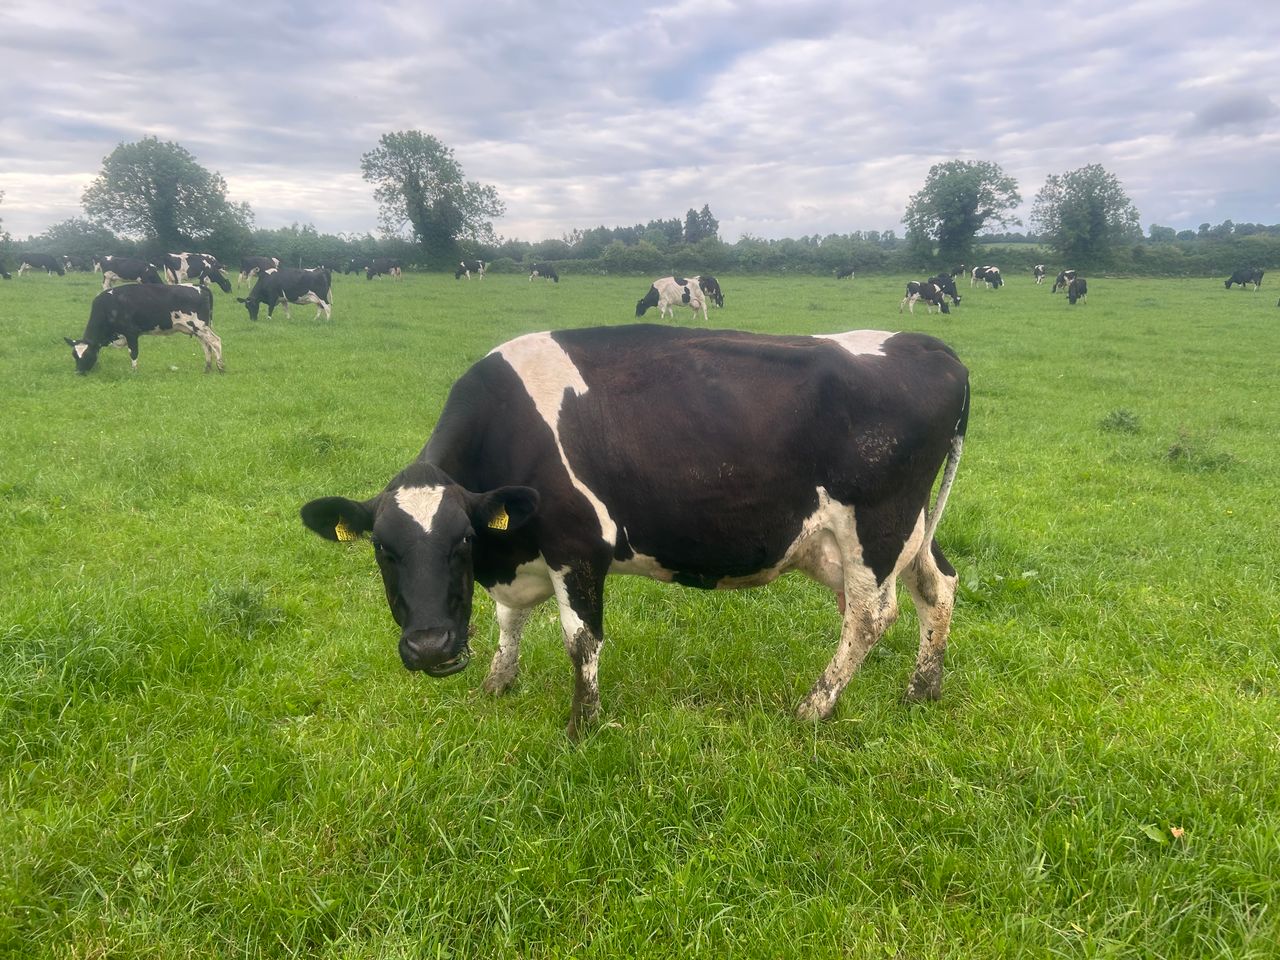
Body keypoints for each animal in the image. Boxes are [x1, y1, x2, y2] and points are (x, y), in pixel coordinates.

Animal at [64, 282, 224, 374]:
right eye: (74, 355)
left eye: (87, 354)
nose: (78, 372)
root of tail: (199, 286)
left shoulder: (131, 333)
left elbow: (133, 353)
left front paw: (134, 372)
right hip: (197, 330)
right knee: (206, 345)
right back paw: (207, 368)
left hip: (200, 326)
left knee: (215, 341)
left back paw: (221, 367)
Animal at [299, 324, 969, 738]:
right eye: (383, 550)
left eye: (461, 540)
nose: (431, 647)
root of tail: (932, 348)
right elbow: (508, 622)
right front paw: (496, 684)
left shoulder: (576, 546)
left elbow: (581, 642)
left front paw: (582, 726)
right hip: (908, 529)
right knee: (936, 586)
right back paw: (922, 689)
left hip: (877, 527)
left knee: (869, 616)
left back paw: (813, 707)